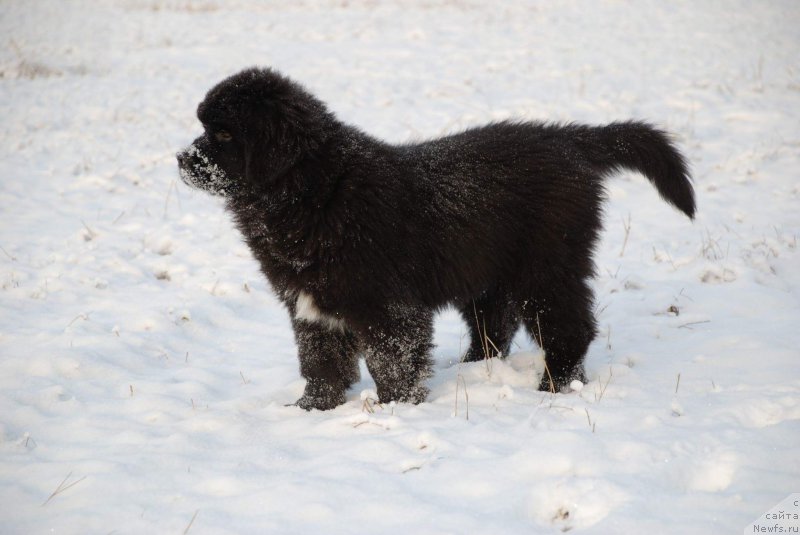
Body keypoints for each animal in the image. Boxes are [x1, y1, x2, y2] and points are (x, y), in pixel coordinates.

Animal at [177, 67, 692, 410]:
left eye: (223, 133)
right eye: (204, 127)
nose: (182, 159)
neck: (316, 189)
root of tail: (567, 141)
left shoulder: (387, 306)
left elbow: (391, 361)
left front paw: (396, 409)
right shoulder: (311, 305)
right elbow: (320, 361)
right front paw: (311, 409)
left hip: (545, 266)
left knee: (567, 327)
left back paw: (553, 387)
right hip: (488, 274)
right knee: (494, 327)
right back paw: (471, 369)